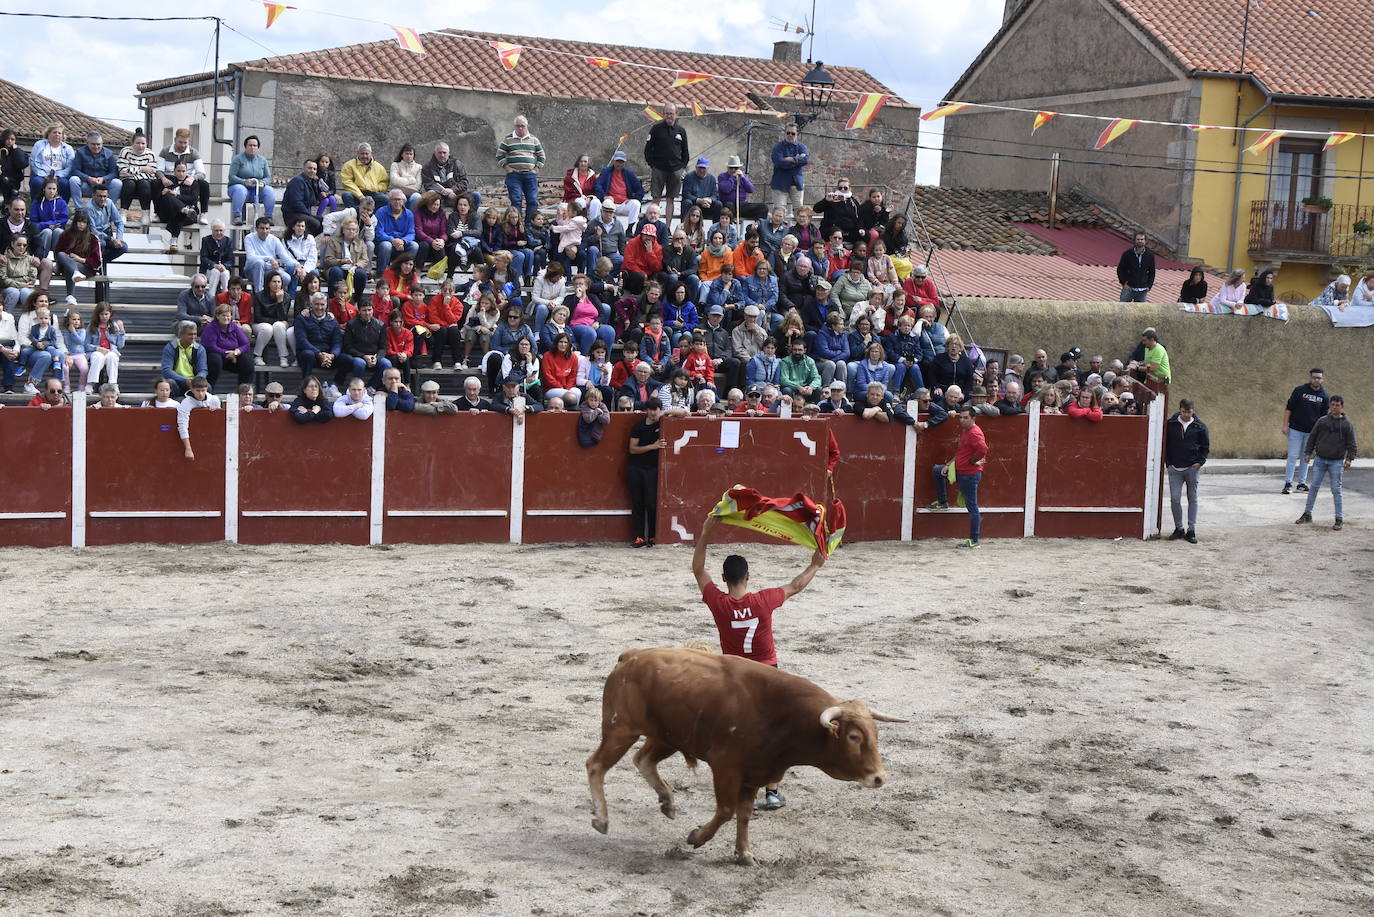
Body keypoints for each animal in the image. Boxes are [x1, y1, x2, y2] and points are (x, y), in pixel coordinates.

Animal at [585, 648, 906, 863]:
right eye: (854, 737)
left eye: (875, 734)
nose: (879, 778)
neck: (783, 716)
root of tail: (631, 656)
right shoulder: (726, 766)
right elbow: (727, 810)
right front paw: (697, 837)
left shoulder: (755, 774)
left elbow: (745, 814)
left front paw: (744, 853)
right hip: (620, 729)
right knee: (596, 765)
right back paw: (601, 819)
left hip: (667, 736)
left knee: (643, 760)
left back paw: (667, 801)